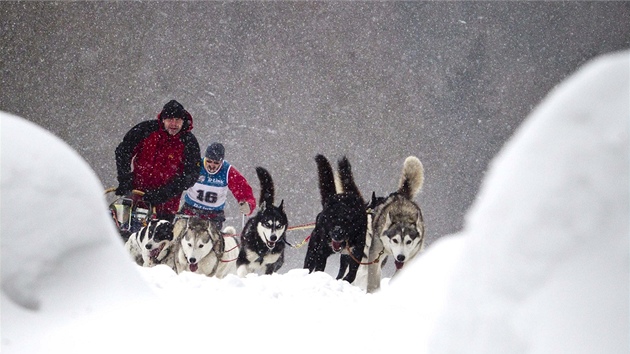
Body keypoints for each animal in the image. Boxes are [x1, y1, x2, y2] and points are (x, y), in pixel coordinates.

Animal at [306, 153, 370, 284]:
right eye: (330, 220)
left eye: (347, 222)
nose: (336, 234)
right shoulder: (321, 251)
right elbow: (319, 268)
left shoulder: (357, 252)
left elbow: (352, 274)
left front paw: (345, 280)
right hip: (312, 249)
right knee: (308, 266)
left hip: (344, 256)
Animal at [368, 156, 428, 294]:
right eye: (395, 240)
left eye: (408, 241)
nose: (400, 257)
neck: (403, 216)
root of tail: (402, 196)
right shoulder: (376, 251)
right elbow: (373, 278)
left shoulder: (410, 256)